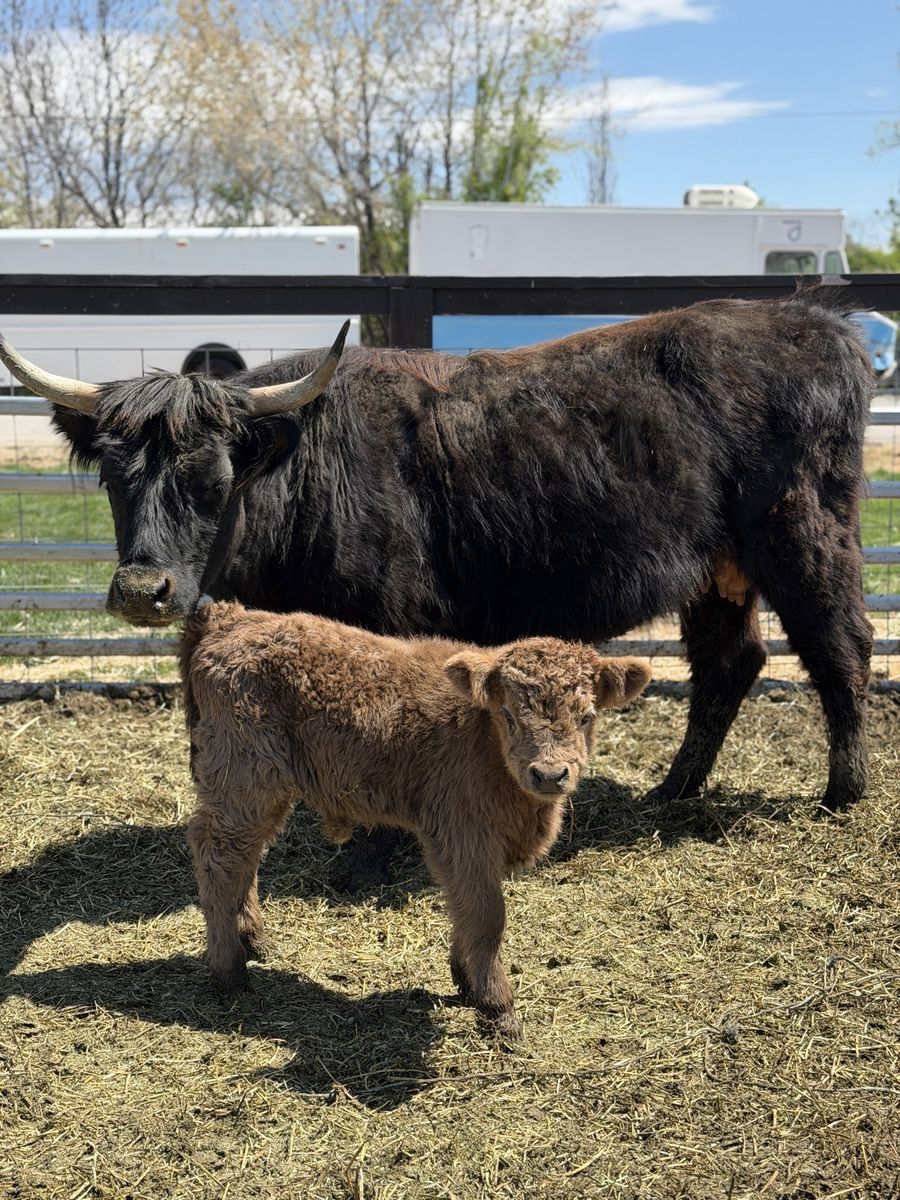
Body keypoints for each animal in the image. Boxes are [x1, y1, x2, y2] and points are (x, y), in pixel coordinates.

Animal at [0, 293, 874, 837]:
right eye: (114, 476)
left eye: (213, 479)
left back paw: (842, 793)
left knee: (840, 647)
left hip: (803, 536)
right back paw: (673, 789)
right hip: (717, 568)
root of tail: (820, 324)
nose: (142, 590)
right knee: (730, 661)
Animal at [181, 598, 652, 1039]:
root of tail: (232, 618)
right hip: (243, 780)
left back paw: (254, 940)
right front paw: (498, 1009)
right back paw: (229, 971)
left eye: (586, 716)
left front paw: (466, 980)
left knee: (247, 856)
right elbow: (486, 914)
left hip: (262, 793)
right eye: (509, 715)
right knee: (218, 856)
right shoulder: (461, 836)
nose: (550, 774)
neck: (480, 738)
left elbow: (465, 908)